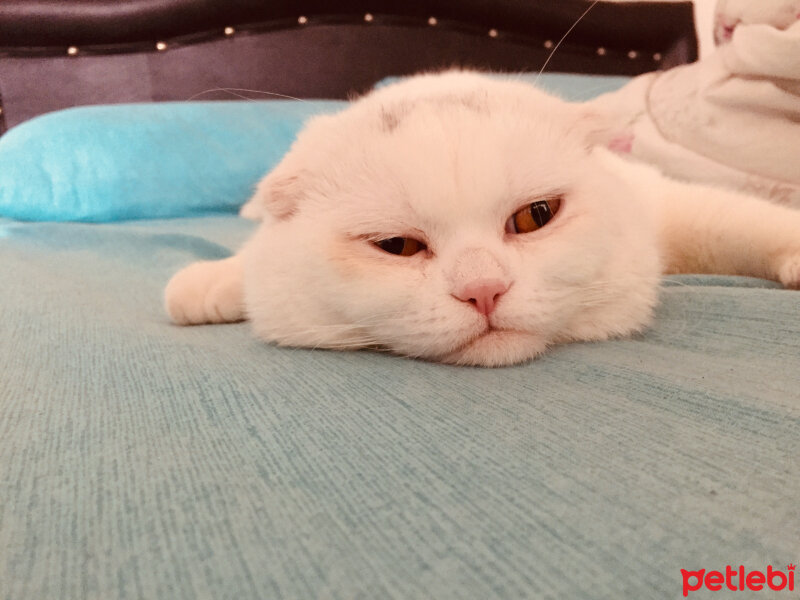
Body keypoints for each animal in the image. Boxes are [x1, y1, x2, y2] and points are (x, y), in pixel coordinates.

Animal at [164, 73, 800, 368]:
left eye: (535, 216)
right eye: (396, 246)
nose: (483, 290)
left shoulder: (666, 203)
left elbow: (740, 220)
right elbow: (248, 265)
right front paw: (201, 287)